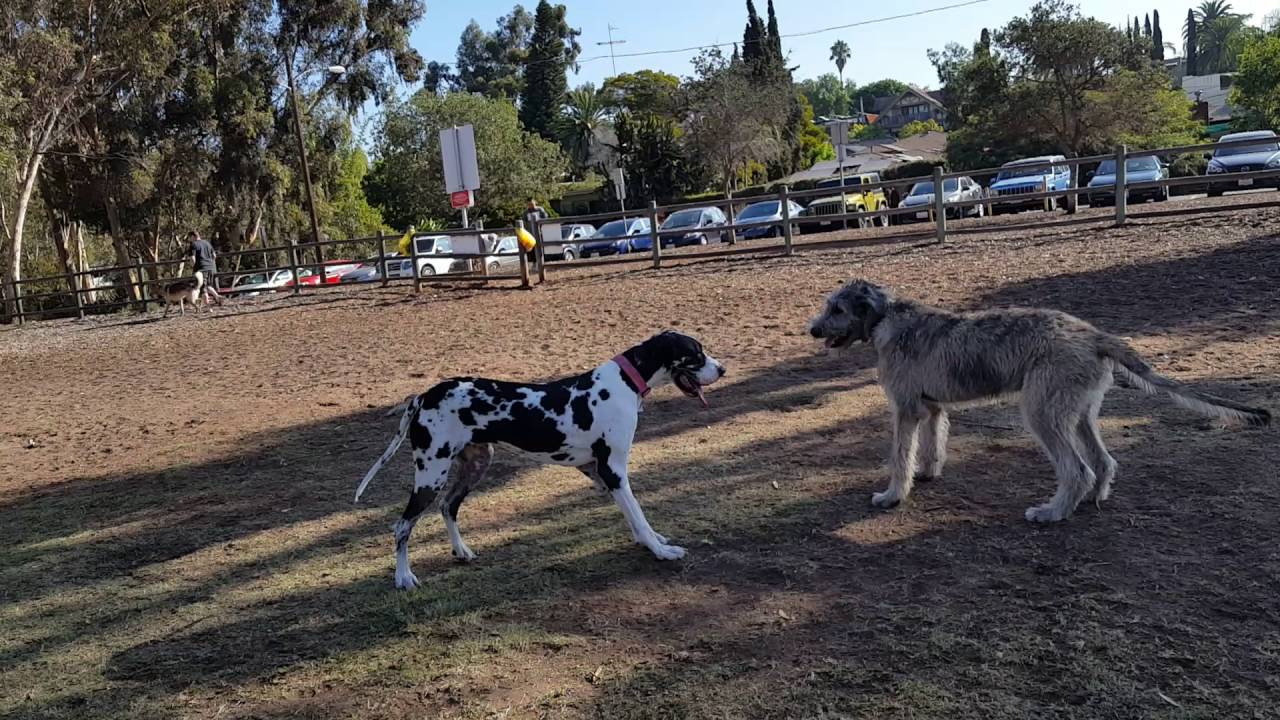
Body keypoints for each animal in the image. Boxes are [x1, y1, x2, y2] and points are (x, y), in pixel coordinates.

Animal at [355, 330, 727, 589]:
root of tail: (423, 396)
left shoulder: (600, 473)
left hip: (474, 466)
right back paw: (403, 578)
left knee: (448, 507)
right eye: (695, 354)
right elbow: (639, 513)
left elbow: (635, 517)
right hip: (430, 475)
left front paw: (652, 540)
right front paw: (662, 551)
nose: (723, 369)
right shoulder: (613, 471)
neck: (624, 383)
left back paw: (461, 551)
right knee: (402, 525)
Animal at [808, 278, 1269, 517]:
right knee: (1103, 461)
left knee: (1077, 468)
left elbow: (899, 456)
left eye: (837, 310)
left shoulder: (905, 409)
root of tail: (1095, 335)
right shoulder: (932, 407)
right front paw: (927, 473)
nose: (812, 330)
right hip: (1078, 411)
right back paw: (1091, 499)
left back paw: (1052, 512)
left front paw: (892, 496)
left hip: (1041, 412)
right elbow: (931, 445)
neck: (885, 318)